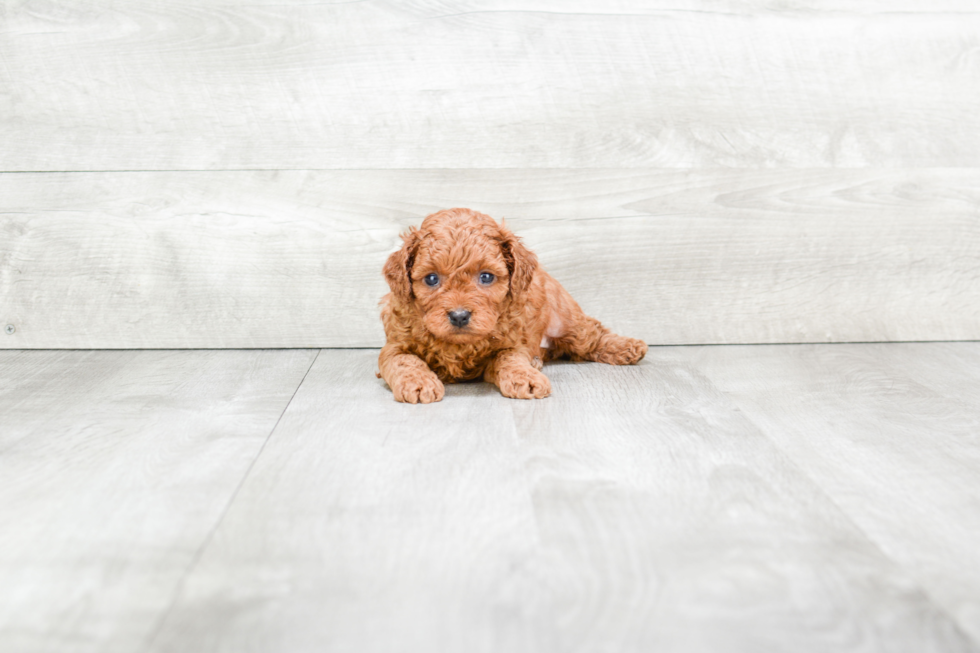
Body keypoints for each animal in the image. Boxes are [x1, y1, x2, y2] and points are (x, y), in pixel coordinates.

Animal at [378, 209, 648, 402]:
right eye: (431, 279)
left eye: (486, 277)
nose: (459, 316)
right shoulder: (394, 347)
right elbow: (405, 361)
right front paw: (419, 383)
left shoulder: (512, 343)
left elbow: (509, 358)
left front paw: (525, 377)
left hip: (567, 319)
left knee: (592, 336)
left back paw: (628, 347)